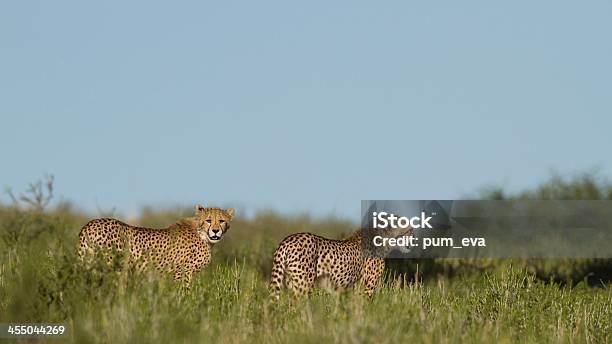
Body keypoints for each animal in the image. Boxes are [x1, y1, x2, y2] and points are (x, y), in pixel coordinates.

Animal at [77, 204, 235, 284]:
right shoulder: (182, 272)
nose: (215, 231)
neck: (202, 234)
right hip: (113, 267)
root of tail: (91, 224)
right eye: (208, 220)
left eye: (222, 221)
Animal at [268, 227, 412, 296]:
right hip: (303, 284)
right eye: (409, 230)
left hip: (290, 282)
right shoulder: (369, 284)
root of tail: (287, 240)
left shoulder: (355, 285)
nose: (414, 237)